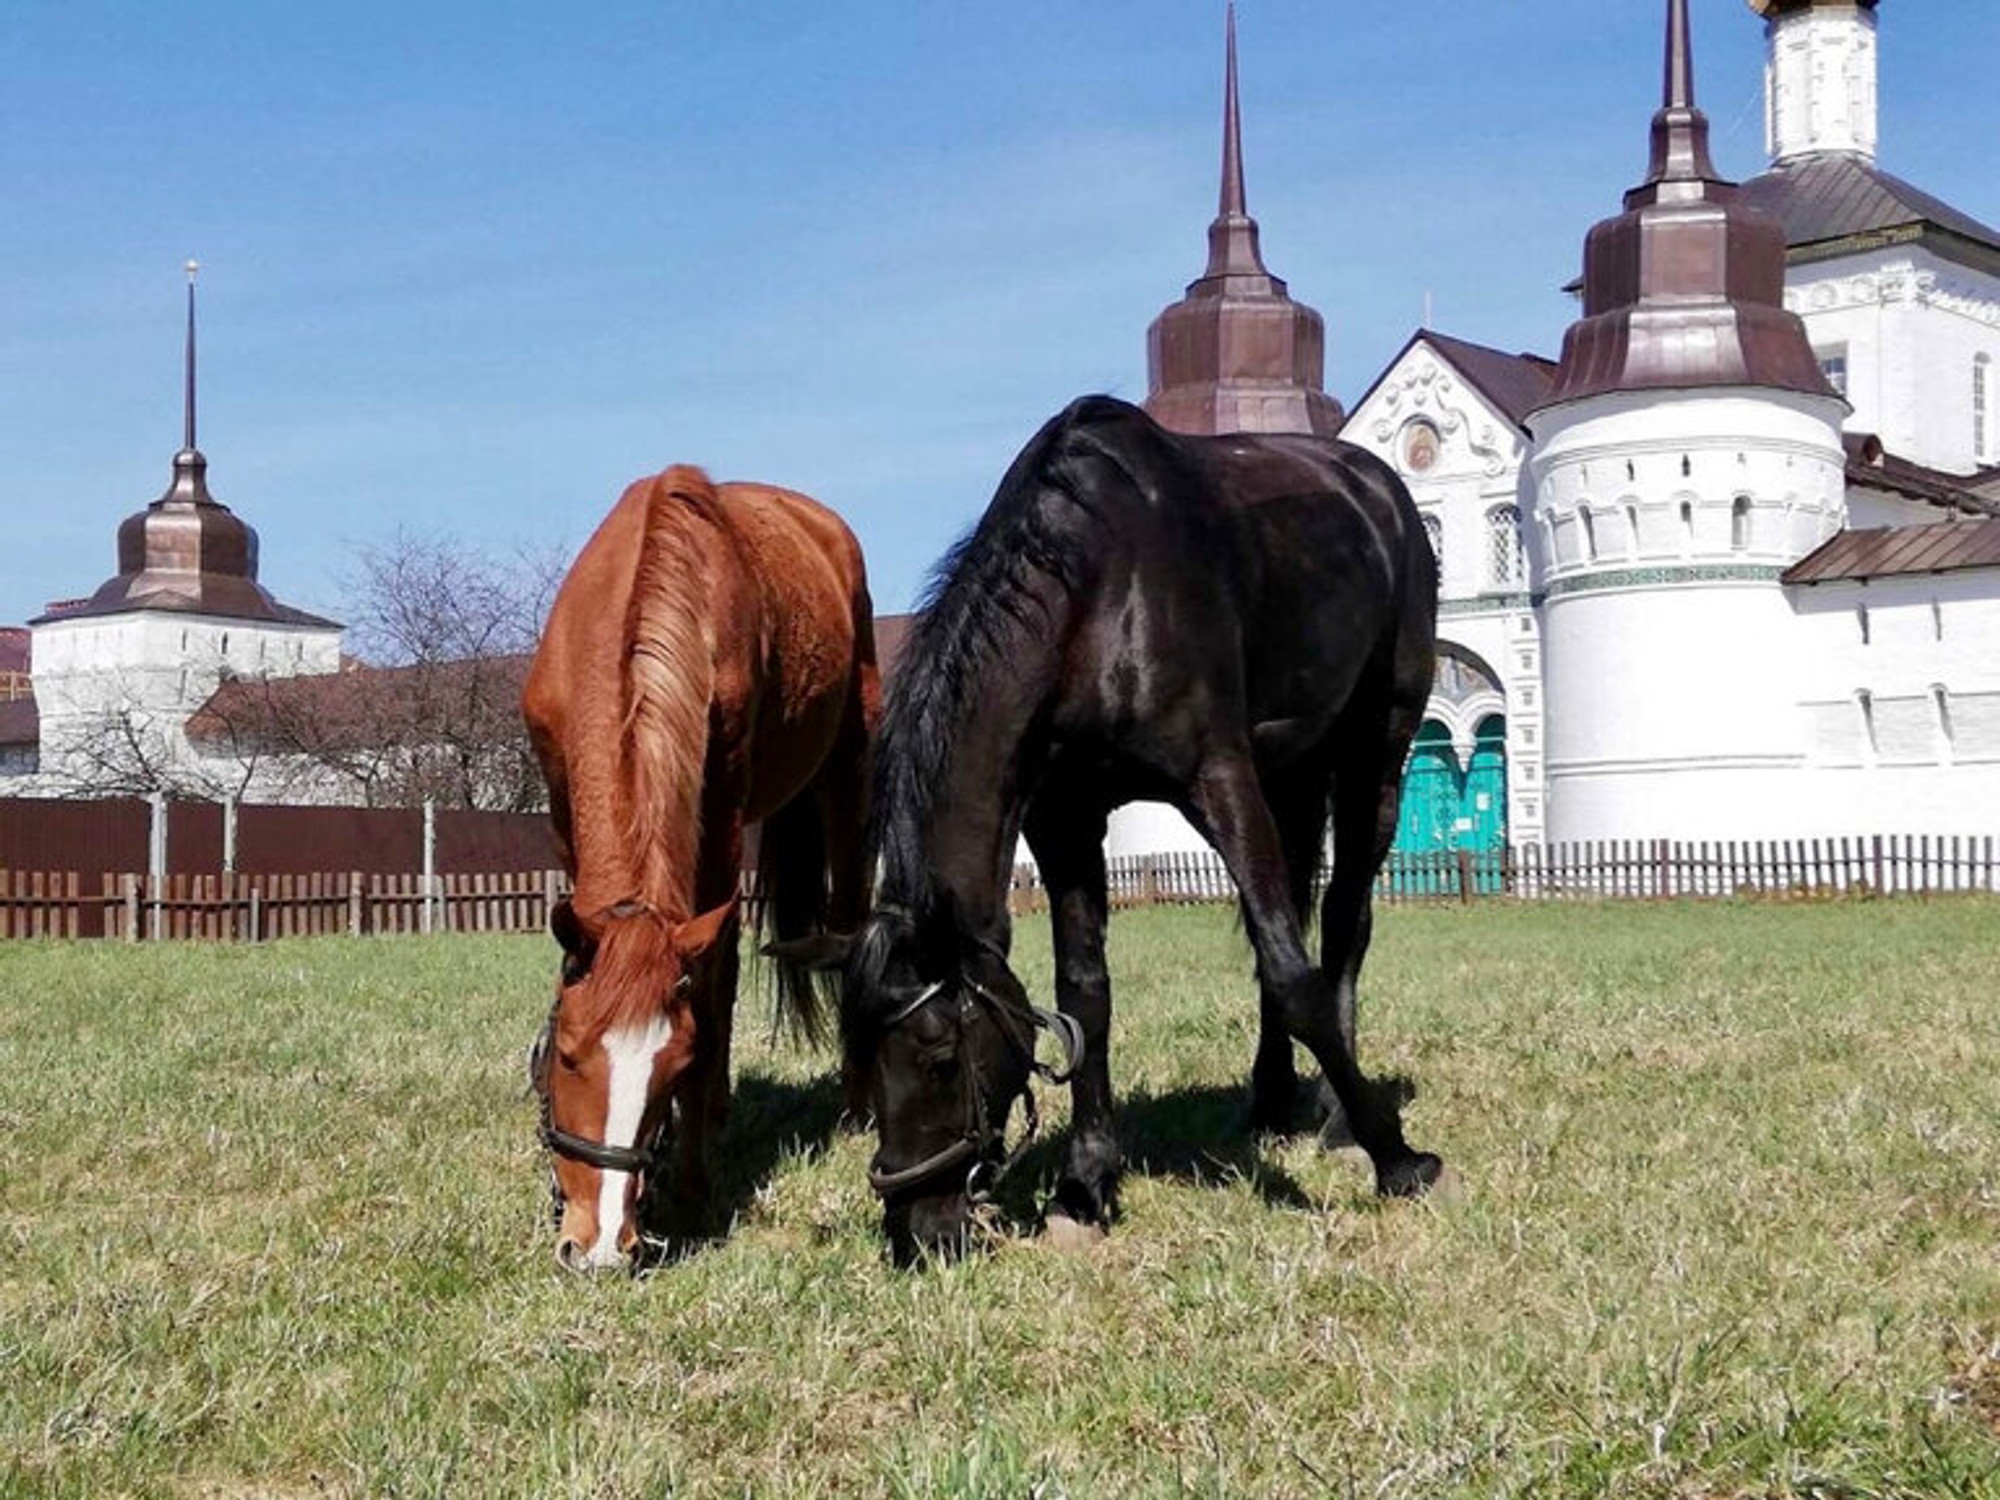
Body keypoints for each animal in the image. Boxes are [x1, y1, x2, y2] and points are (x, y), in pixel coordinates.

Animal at [524, 464, 876, 1272]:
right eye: (567, 1055)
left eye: (671, 1065)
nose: (599, 1248)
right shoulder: (562, 809)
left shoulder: (717, 816)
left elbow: (712, 991)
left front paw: (691, 1183)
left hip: (848, 771)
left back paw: (854, 1106)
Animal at [776, 394, 1440, 1264]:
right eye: (859, 1063)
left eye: (940, 1056)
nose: (920, 1232)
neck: (1097, 597)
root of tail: (1378, 489)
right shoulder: (1065, 817)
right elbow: (1085, 996)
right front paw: (1085, 1185)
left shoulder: (1220, 779)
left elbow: (1298, 978)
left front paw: (1398, 1157)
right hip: (1292, 773)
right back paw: (1270, 1101)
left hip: (1375, 754)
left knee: (1340, 925)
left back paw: (1338, 1119)